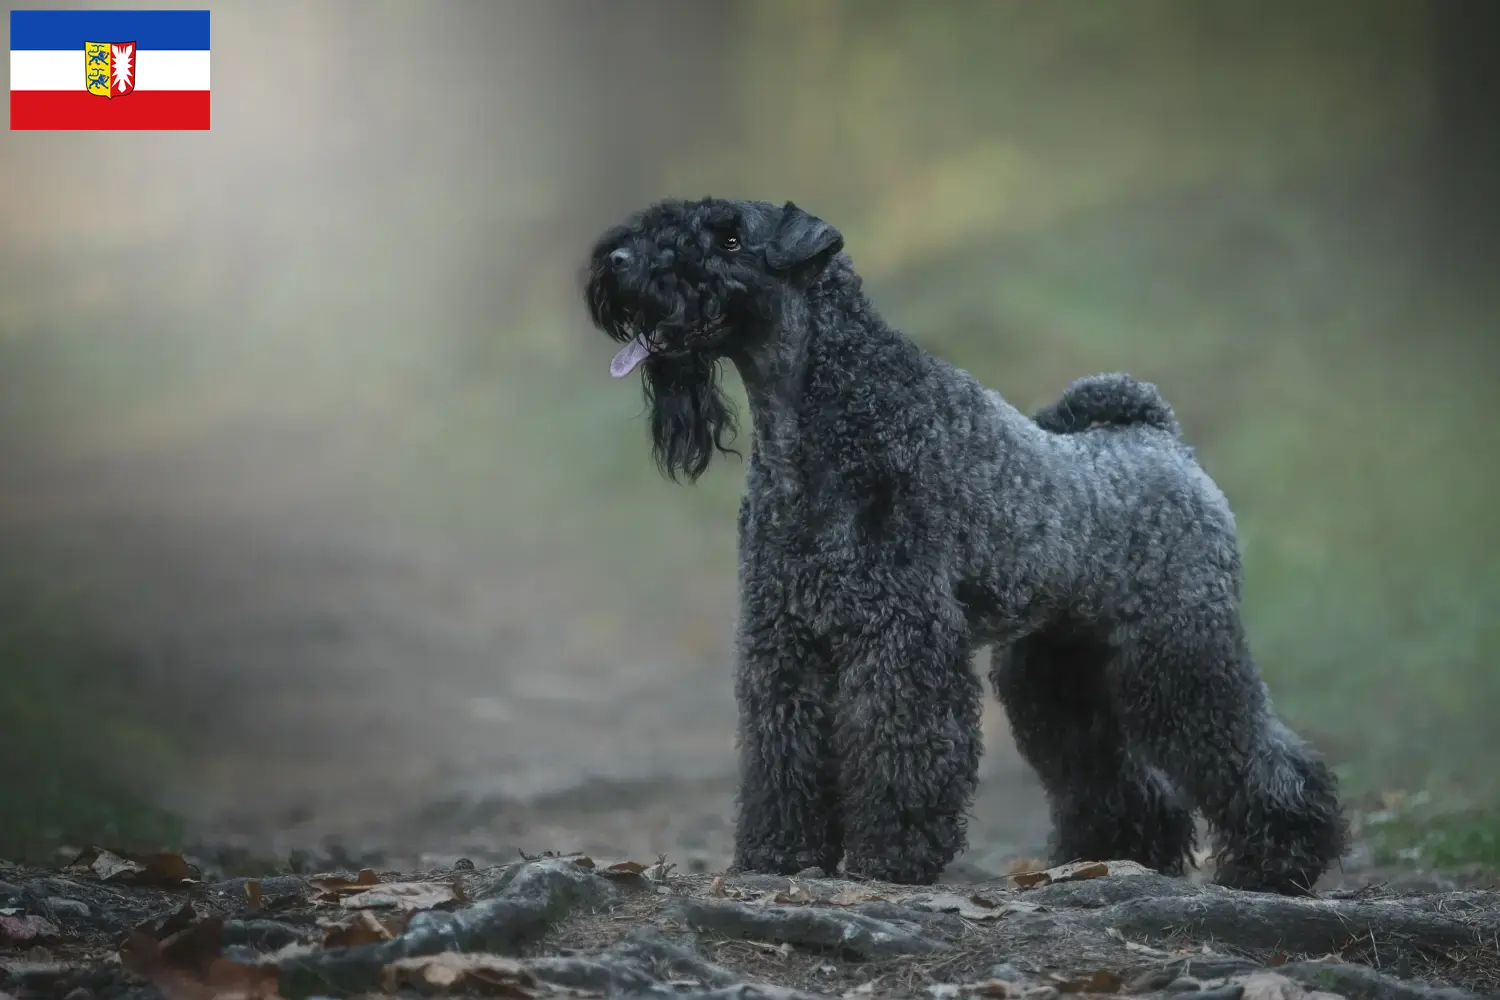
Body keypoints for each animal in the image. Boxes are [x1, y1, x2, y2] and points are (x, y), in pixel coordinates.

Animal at [582, 197, 1350, 899]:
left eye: (732, 238)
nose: (616, 262)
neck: (823, 419)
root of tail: (1162, 439)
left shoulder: (900, 635)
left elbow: (899, 745)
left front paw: (889, 856)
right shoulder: (784, 638)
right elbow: (783, 750)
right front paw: (781, 852)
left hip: (1181, 653)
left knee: (1254, 752)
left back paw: (1277, 861)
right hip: (1056, 671)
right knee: (1112, 772)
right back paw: (1112, 853)